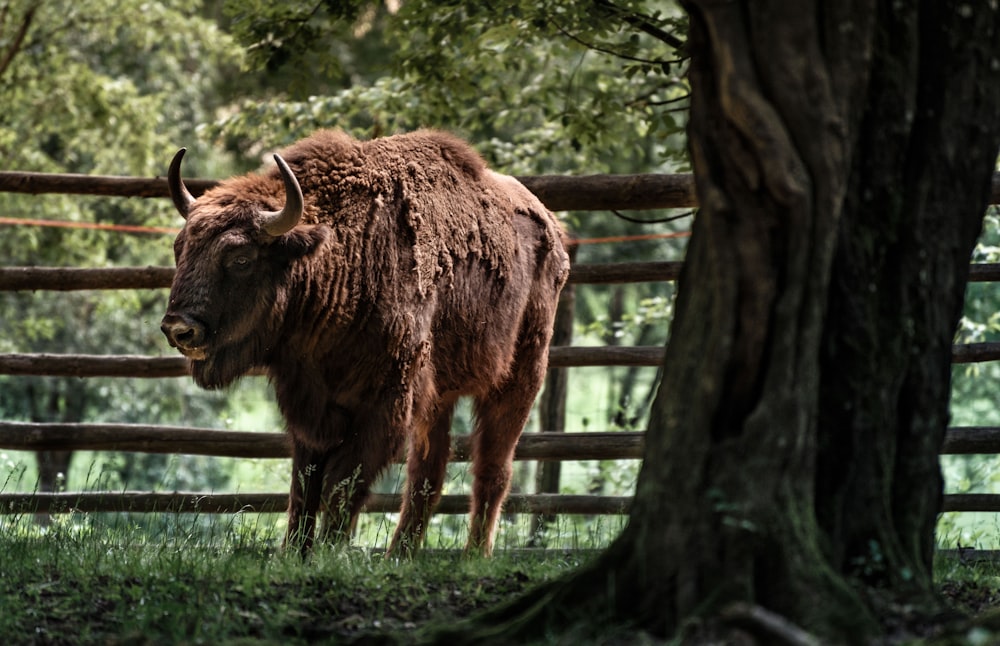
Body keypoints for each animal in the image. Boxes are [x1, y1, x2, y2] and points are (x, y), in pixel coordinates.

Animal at [162, 130, 572, 556]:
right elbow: (304, 487)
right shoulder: (312, 409)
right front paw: (294, 554)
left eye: (241, 258)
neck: (342, 256)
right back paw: (399, 556)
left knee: (492, 469)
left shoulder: (383, 408)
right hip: (439, 397)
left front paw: (326, 554)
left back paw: (473, 557)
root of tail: (553, 231)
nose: (179, 328)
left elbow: (342, 486)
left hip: (520, 379)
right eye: (180, 248)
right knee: (429, 473)